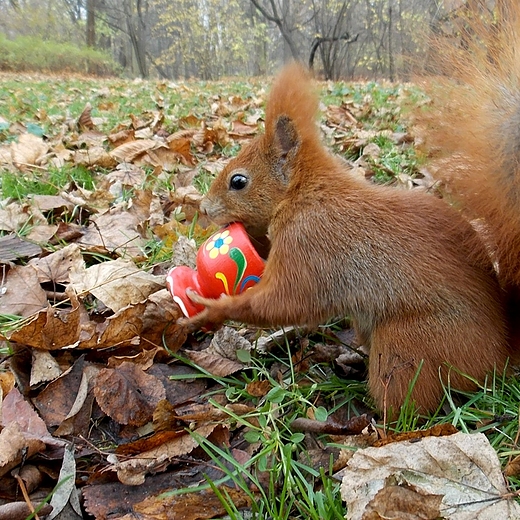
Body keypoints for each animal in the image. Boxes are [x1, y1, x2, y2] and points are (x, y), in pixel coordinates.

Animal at [180, 29, 520, 414]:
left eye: (238, 181)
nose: (204, 209)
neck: (304, 194)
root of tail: (500, 354)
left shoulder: (310, 242)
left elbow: (284, 301)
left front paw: (212, 309)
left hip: (409, 343)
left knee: (408, 403)